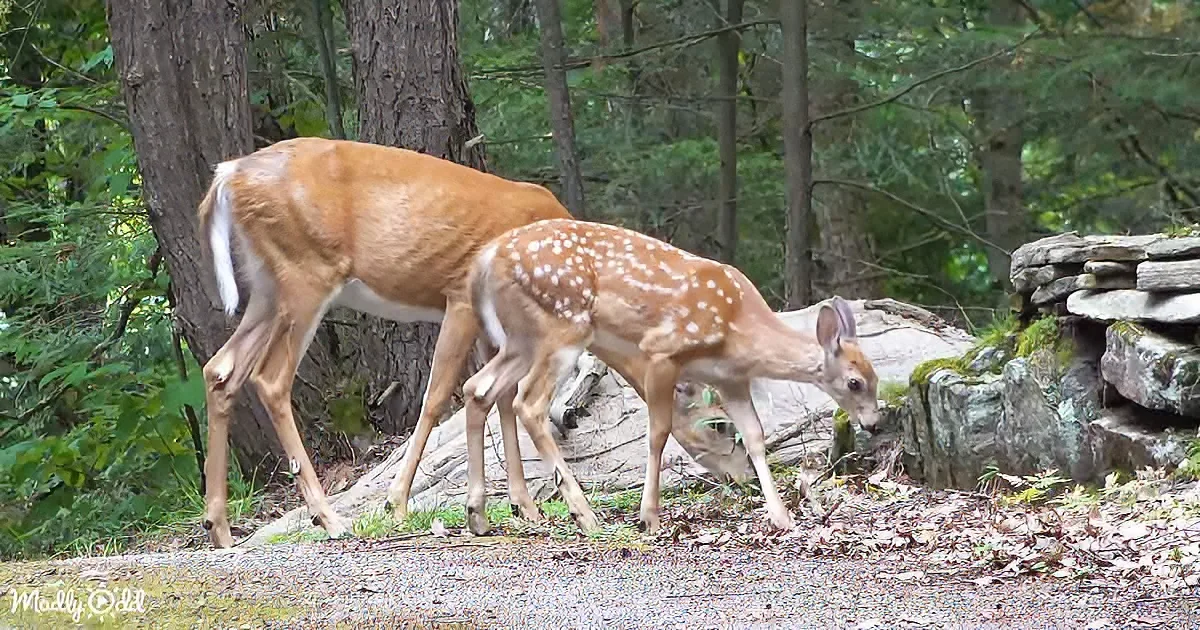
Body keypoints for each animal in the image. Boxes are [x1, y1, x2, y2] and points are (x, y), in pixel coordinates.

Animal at [195, 137, 746, 547]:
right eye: (720, 424)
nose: (738, 478)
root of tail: (228, 174)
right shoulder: (460, 296)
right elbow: (440, 396)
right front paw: (398, 502)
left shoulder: (494, 325)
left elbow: (497, 400)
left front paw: (521, 507)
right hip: (306, 271)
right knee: (270, 379)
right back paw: (328, 518)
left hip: (266, 285)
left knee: (220, 369)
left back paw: (219, 526)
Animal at [459, 218, 881, 535]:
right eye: (855, 382)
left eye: (875, 377)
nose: (874, 422)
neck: (738, 329)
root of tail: (486, 259)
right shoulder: (661, 352)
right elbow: (659, 433)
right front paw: (649, 516)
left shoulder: (730, 380)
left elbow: (756, 437)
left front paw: (781, 516)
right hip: (563, 325)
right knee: (527, 403)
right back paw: (585, 514)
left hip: (521, 340)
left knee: (477, 388)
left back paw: (478, 515)